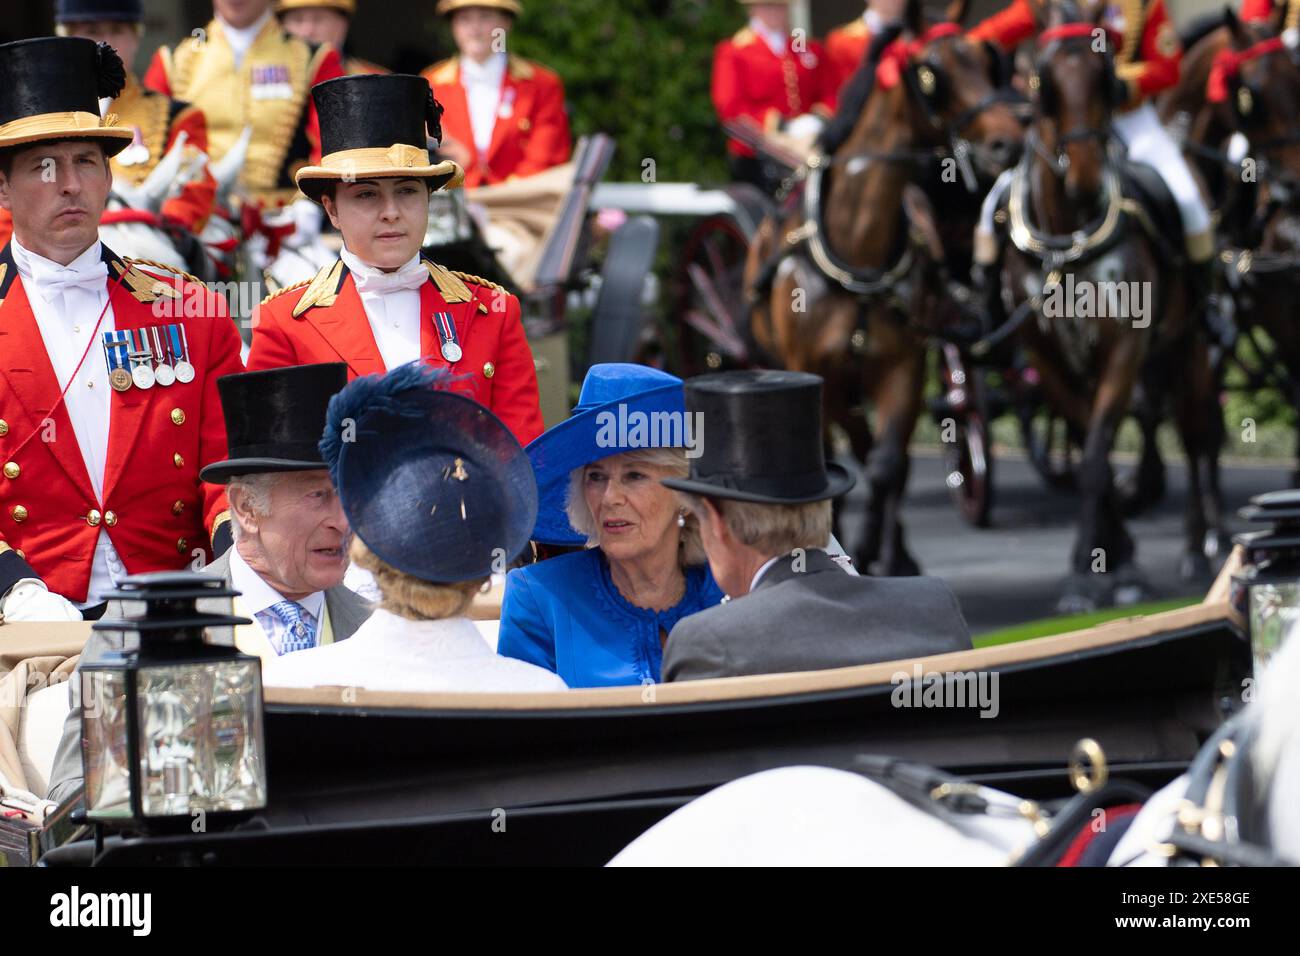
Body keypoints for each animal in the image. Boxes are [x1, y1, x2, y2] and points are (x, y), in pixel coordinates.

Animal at [743, 0, 1024, 574]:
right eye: (930, 72)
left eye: (987, 60)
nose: (1007, 140)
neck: (858, 255)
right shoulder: (814, 376)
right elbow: (827, 470)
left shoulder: (902, 371)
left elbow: (887, 465)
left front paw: (879, 551)